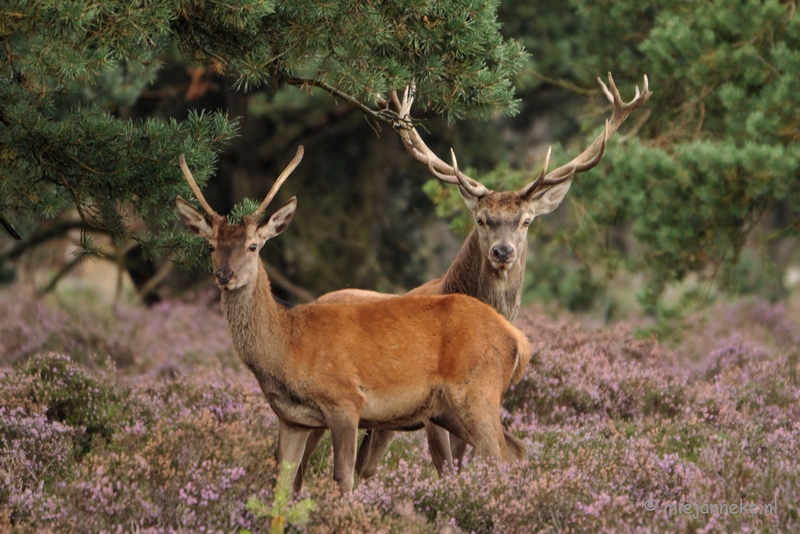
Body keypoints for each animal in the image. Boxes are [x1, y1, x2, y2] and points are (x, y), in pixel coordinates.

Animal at [175, 146, 532, 494]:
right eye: (211, 246)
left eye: (252, 246)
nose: (225, 275)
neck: (288, 348)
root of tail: (518, 339)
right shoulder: (293, 420)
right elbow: (282, 487)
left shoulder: (345, 400)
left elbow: (342, 479)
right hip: (448, 410)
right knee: (516, 450)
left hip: (478, 392)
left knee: (500, 457)